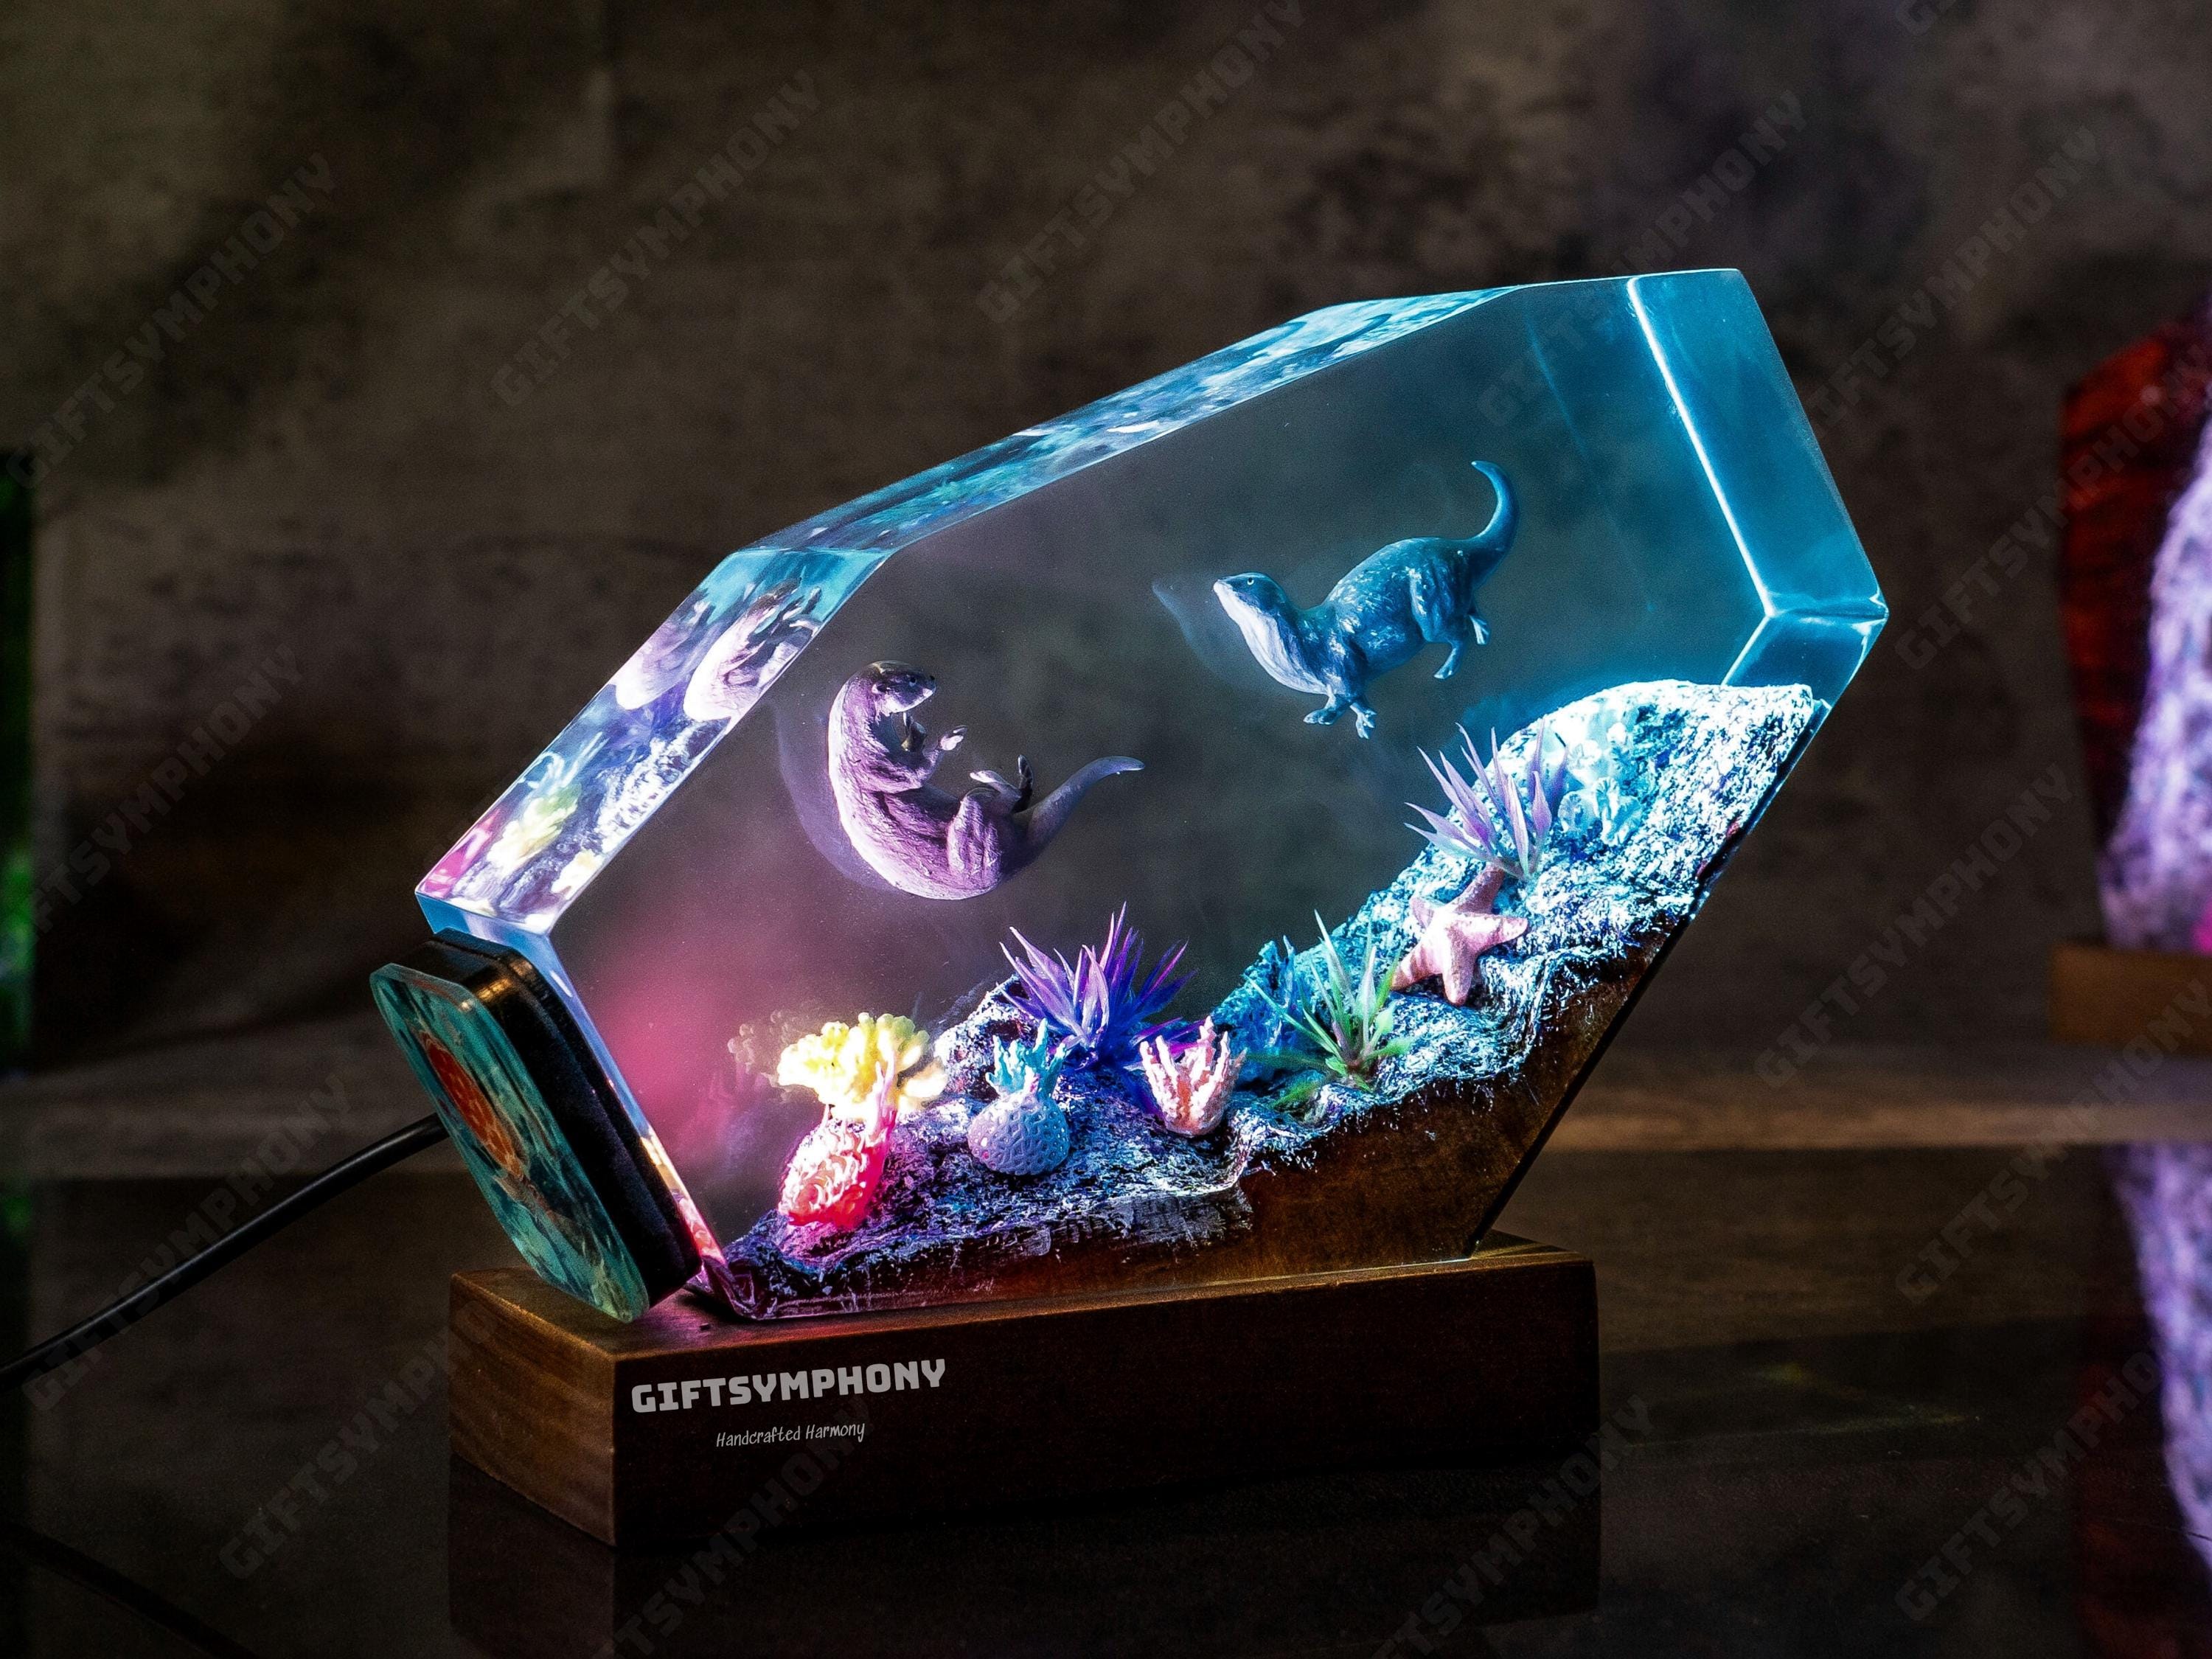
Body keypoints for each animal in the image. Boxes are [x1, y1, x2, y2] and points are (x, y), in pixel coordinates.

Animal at [828, 662, 1141, 901]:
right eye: (912, 680)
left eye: (912, 668)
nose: (932, 678)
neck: (855, 743)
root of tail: (1017, 859)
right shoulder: (877, 766)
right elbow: (915, 773)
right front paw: (949, 738)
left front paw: (914, 729)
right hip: (976, 836)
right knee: (997, 800)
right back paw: (988, 776)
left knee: (1018, 798)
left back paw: (1020, 773)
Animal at [1214, 460, 1517, 738]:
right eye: (1234, 575)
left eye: (1247, 581)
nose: (1221, 581)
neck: (1303, 643)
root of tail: (1456, 549)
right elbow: (1359, 702)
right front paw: (1366, 721)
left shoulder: (1340, 667)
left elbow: (1344, 696)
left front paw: (1321, 715)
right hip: (1450, 591)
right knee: (1471, 607)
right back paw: (1484, 633)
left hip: (1431, 603)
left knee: (1457, 634)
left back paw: (1447, 670)